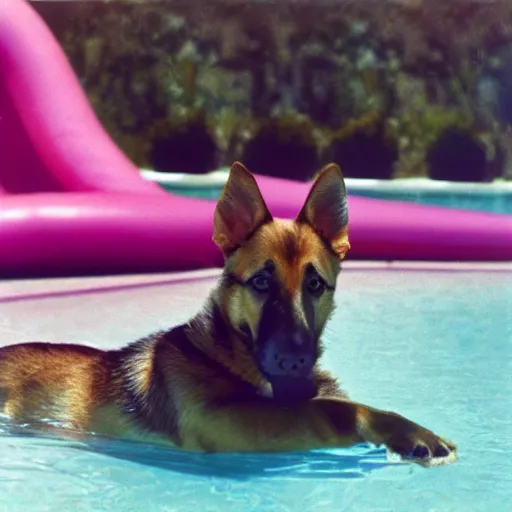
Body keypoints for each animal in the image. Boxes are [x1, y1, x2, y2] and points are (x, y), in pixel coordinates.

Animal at [0, 164, 456, 468]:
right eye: (261, 282)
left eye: (315, 285)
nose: (294, 360)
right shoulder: (225, 420)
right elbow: (329, 409)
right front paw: (407, 433)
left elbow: (326, 403)